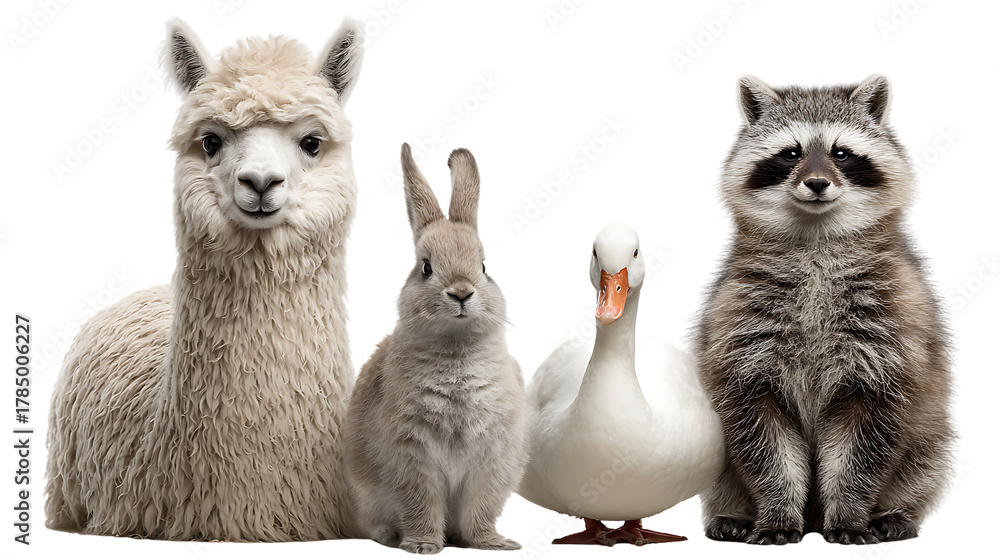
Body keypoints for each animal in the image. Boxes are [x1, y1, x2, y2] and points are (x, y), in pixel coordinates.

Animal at [345, 144, 529, 554]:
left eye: (484, 266)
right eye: (426, 267)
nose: (461, 292)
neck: (455, 349)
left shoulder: (491, 461)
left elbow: (481, 509)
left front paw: (494, 543)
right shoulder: (411, 458)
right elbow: (420, 505)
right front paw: (423, 545)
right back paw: (389, 536)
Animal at [695, 75, 953, 545]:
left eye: (841, 153)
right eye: (791, 153)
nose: (816, 183)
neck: (816, 237)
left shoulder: (887, 340)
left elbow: (864, 446)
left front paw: (849, 512)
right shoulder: (740, 331)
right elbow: (762, 441)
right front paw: (777, 510)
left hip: (929, 435)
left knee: (926, 457)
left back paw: (895, 510)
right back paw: (734, 511)